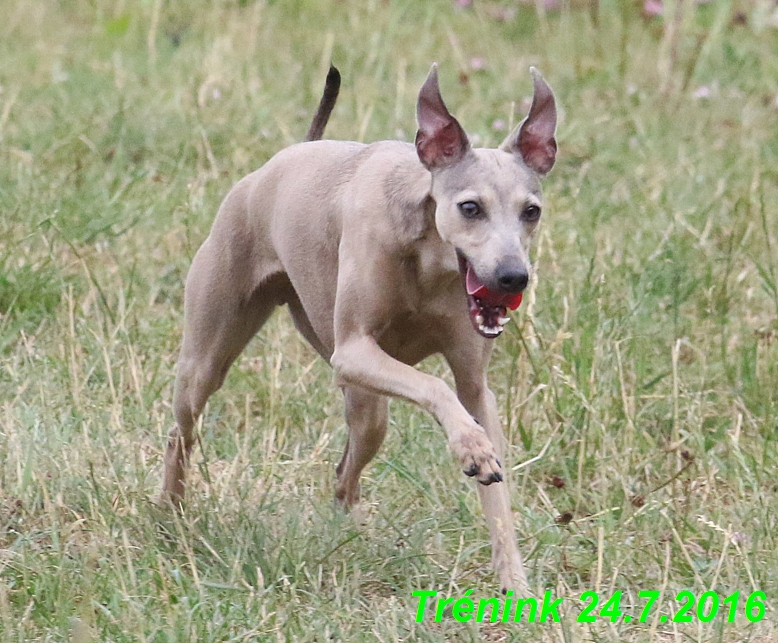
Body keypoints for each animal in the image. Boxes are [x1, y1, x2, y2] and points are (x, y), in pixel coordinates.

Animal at [164, 63, 556, 596]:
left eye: (530, 211)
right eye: (470, 207)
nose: (514, 277)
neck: (429, 257)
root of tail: (287, 155)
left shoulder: (475, 387)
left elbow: (495, 491)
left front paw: (514, 582)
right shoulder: (351, 351)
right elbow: (435, 386)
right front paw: (471, 447)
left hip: (367, 408)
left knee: (344, 472)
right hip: (209, 357)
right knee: (181, 432)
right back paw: (170, 511)